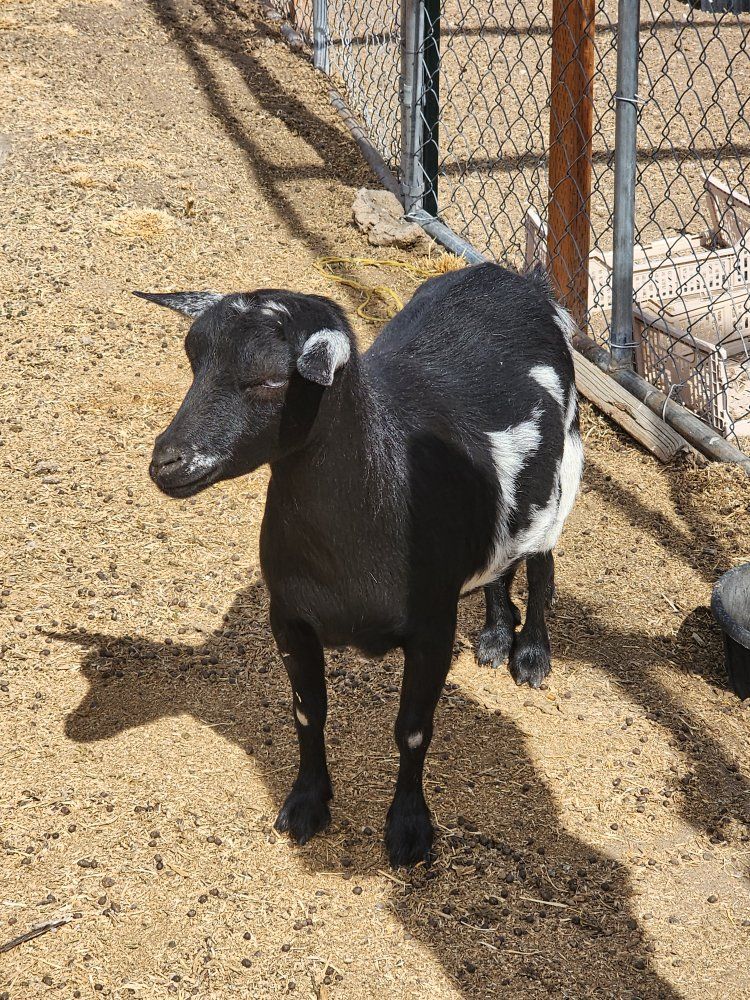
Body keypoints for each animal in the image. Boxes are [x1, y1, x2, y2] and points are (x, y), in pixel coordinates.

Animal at [135, 263, 584, 867]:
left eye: (270, 380)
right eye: (192, 361)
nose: (168, 463)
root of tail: (514, 277)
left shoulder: (432, 628)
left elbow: (413, 730)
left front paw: (409, 829)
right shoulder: (289, 617)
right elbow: (308, 712)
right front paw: (306, 805)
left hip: (563, 472)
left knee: (541, 562)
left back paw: (531, 653)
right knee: (500, 557)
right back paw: (494, 636)